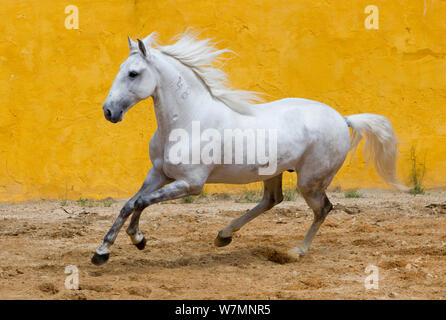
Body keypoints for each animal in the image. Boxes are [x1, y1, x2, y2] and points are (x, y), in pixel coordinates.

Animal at [92, 30, 406, 264]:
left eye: (133, 73)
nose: (109, 111)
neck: (188, 120)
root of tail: (343, 118)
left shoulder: (190, 183)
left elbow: (140, 202)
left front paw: (135, 241)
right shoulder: (159, 173)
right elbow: (130, 203)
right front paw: (106, 250)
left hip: (310, 181)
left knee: (323, 209)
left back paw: (296, 251)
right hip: (274, 173)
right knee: (272, 200)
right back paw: (223, 235)